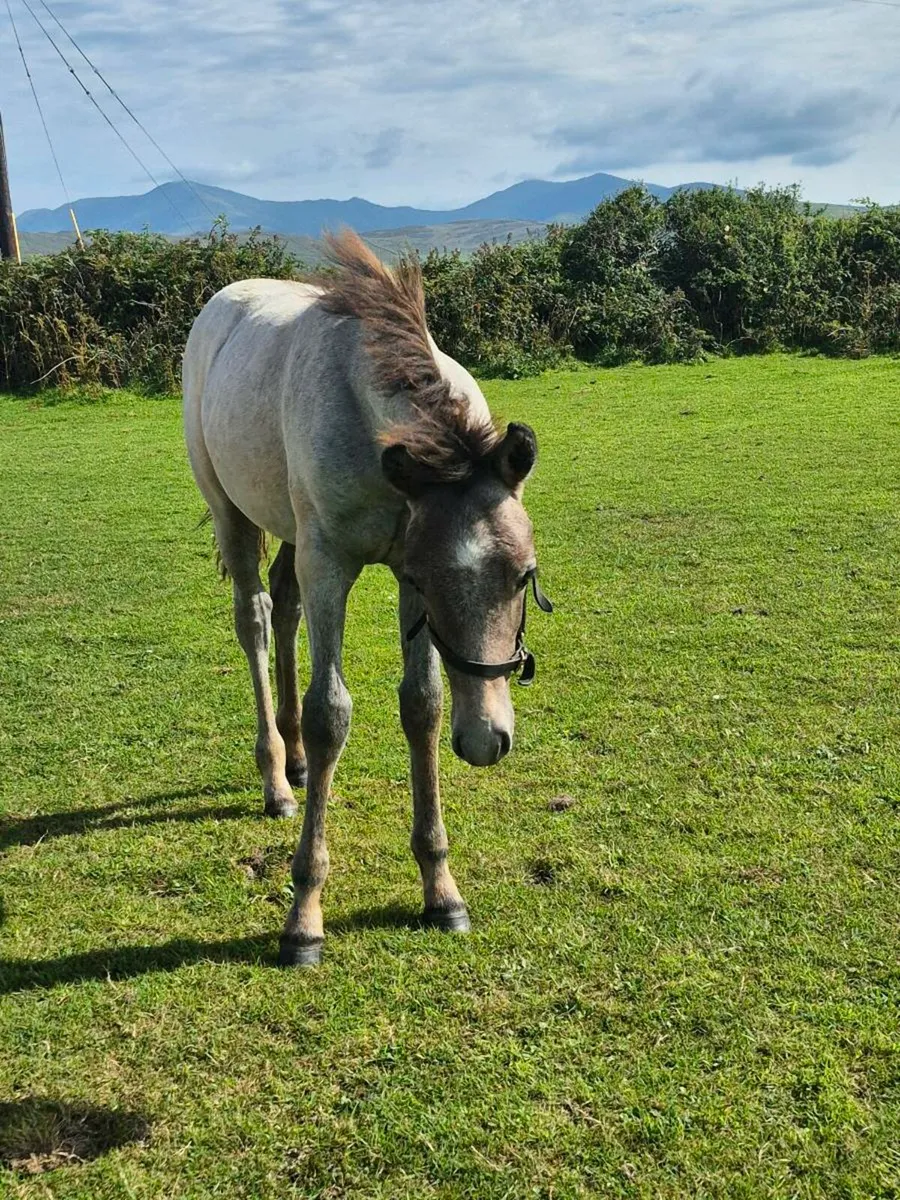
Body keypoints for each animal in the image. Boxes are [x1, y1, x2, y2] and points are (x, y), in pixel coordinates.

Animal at [182, 231, 552, 966]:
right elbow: (332, 714)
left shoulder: (398, 568)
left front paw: (442, 890)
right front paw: (304, 917)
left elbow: (423, 706)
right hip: (233, 514)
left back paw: (295, 761)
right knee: (255, 619)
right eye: (439, 585)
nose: (486, 740)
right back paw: (276, 778)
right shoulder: (337, 563)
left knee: (285, 604)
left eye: (524, 576)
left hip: (289, 529)